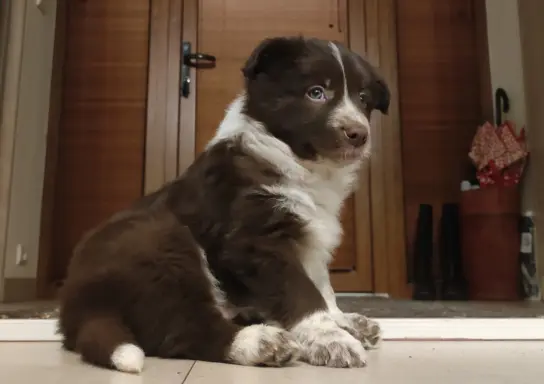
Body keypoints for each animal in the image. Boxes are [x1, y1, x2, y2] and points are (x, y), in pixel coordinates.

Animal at [58, 35, 392, 372]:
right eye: (316, 92)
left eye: (363, 99)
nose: (359, 134)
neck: (298, 162)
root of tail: (76, 308)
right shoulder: (258, 240)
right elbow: (302, 292)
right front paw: (330, 338)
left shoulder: (311, 235)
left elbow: (322, 285)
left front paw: (343, 321)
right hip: (161, 242)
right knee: (182, 328)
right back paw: (259, 342)